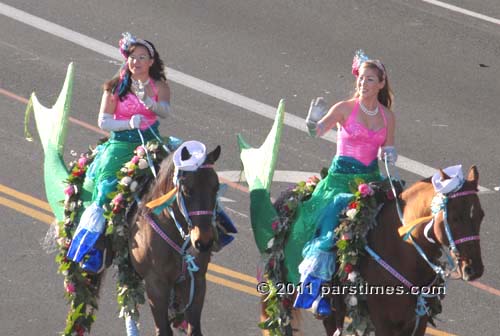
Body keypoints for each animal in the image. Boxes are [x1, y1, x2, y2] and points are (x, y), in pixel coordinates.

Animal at [129, 146, 221, 336]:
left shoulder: (196, 281)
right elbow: (163, 329)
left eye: (216, 187)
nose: (204, 241)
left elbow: (194, 329)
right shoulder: (155, 285)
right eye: (187, 190)